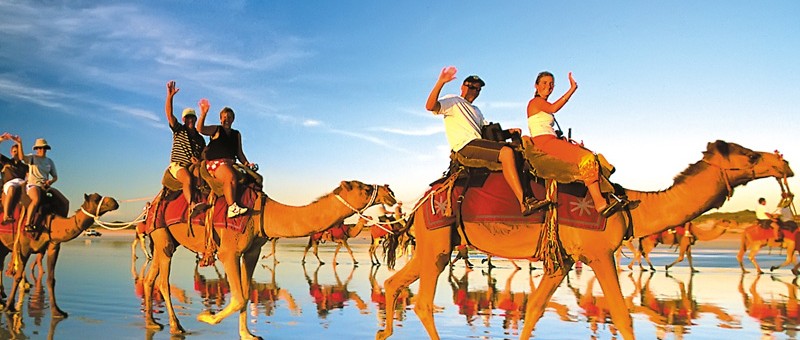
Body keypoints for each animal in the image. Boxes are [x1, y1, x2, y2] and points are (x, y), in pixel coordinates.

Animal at [143, 179, 394, 338]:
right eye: (364, 189)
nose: (389, 192)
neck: (263, 214)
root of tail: (152, 203)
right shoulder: (228, 251)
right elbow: (238, 297)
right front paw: (206, 316)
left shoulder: (251, 252)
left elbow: (245, 295)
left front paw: (247, 334)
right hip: (162, 236)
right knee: (163, 282)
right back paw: (176, 327)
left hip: (165, 239)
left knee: (149, 278)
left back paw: (152, 323)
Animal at [378, 141, 792, 340]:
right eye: (750, 156)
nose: (784, 162)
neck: (630, 204)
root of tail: (418, 206)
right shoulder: (598, 252)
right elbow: (623, 317)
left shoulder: (562, 260)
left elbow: (533, 310)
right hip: (438, 239)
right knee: (424, 303)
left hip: (434, 244)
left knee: (394, 281)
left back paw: (384, 332)